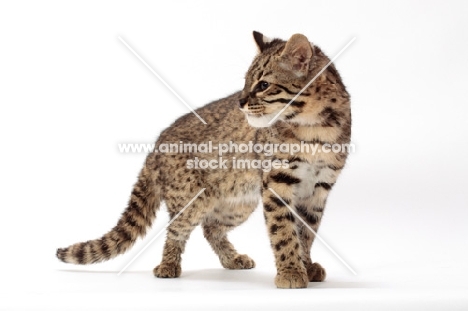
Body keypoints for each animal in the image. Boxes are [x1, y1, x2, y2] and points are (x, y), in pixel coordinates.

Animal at [56, 31, 352, 290]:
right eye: (245, 81)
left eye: (263, 85)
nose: (241, 102)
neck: (316, 128)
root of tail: (157, 143)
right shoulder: (278, 182)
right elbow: (284, 231)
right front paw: (290, 271)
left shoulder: (319, 187)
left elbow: (306, 232)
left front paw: (305, 265)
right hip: (192, 198)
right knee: (177, 228)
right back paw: (167, 266)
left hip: (239, 202)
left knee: (211, 227)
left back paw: (232, 259)